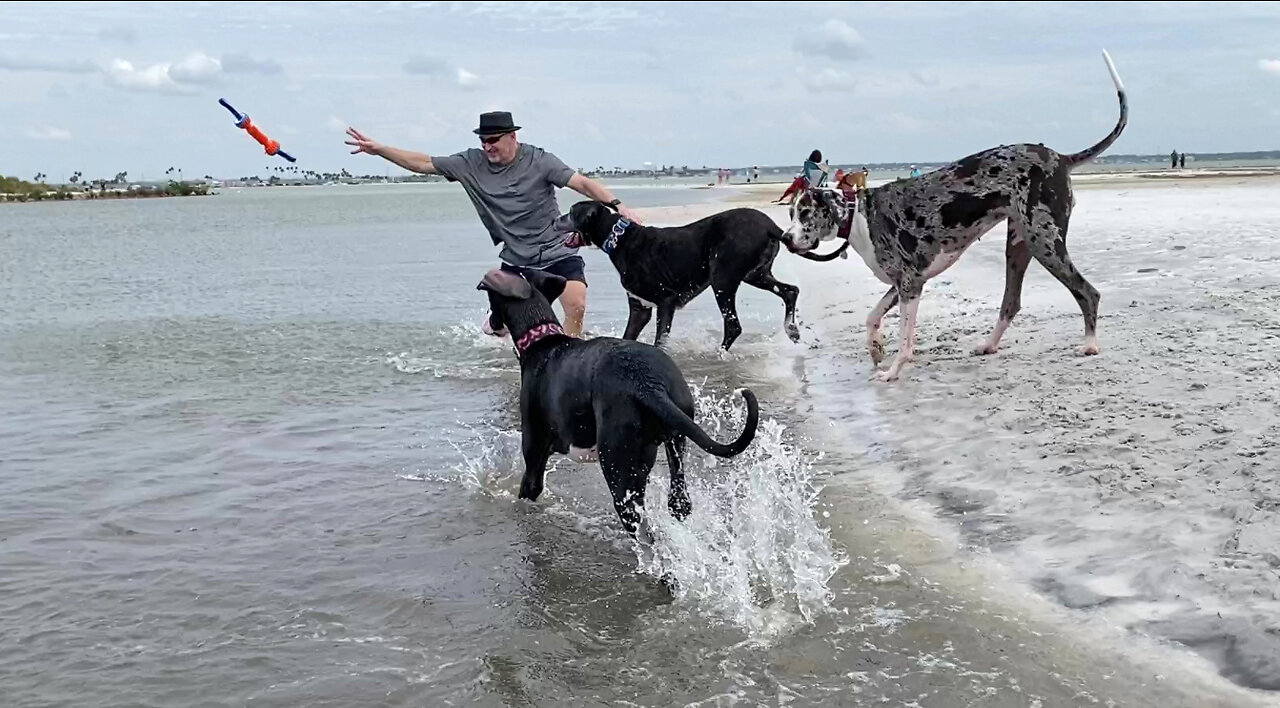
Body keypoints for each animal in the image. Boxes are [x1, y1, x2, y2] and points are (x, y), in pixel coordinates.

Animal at [481, 267, 757, 532]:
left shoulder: (534, 454)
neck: (542, 339)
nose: (486, 321)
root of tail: (648, 384)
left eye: (490, 304)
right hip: (675, 443)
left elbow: (528, 488)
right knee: (679, 502)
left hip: (618, 465)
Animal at [552, 201, 844, 350]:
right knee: (790, 290)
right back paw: (791, 330)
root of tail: (771, 226)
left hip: (722, 278)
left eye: (572, 212)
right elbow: (629, 335)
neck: (620, 238)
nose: (555, 220)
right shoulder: (640, 309)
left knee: (734, 326)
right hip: (755, 275)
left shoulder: (666, 301)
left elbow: (661, 340)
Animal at [778, 51, 1131, 381]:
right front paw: (875, 348)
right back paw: (989, 344)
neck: (859, 216)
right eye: (791, 212)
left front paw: (892, 372)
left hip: (1045, 242)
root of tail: (1059, 156)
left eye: (805, 213)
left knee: (1088, 292)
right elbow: (871, 316)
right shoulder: (905, 283)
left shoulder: (909, 285)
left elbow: (904, 341)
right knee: (1011, 303)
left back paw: (1090, 344)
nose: (784, 238)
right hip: (1019, 246)